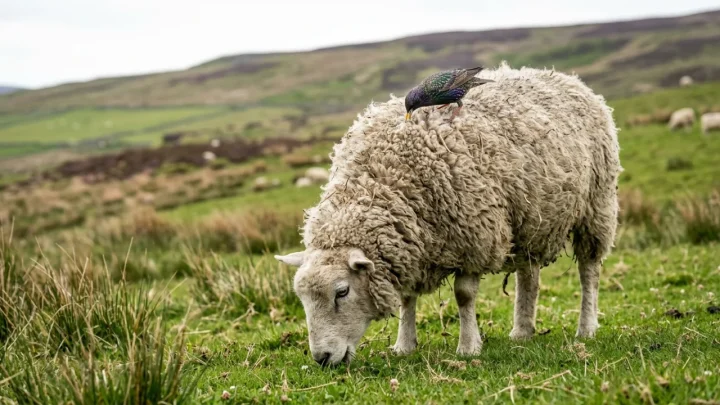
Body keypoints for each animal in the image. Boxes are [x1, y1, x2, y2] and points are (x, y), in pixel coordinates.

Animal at [275, 62, 621, 366]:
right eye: (301, 298)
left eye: (342, 292)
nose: (322, 358)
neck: (382, 181)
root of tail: (567, 77)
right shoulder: (412, 244)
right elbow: (407, 298)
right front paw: (404, 345)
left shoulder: (474, 237)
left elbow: (464, 295)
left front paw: (468, 347)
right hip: (529, 218)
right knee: (529, 276)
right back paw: (522, 330)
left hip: (597, 206)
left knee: (589, 270)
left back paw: (586, 327)